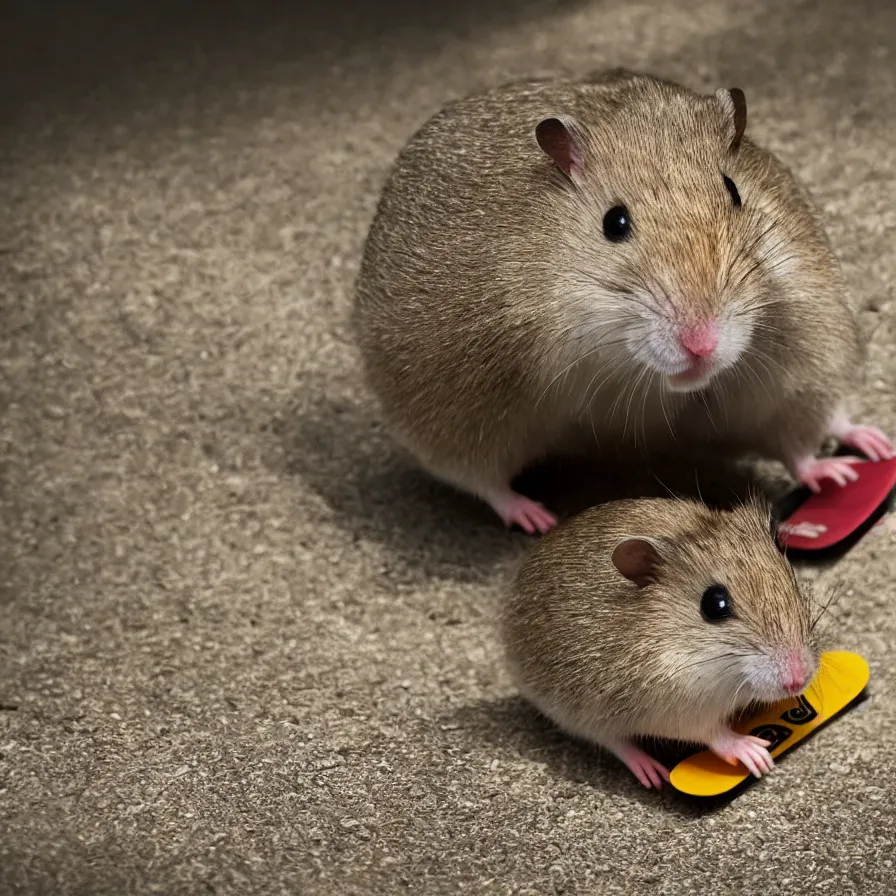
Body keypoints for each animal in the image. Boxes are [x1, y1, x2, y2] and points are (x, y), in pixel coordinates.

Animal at [354, 72, 892, 532]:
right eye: (614, 222)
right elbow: (481, 477)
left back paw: (866, 450)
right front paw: (539, 519)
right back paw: (534, 517)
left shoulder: (792, 361)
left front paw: (837, 477)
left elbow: (797, 448)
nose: (702, 346)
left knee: (827, 423)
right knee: (485, 480)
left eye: (735, 192)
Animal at [500, 500, 824, 788]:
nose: (798, 681)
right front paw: (755, 754)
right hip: (575, 715)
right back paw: (651, 771)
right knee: (614, 742)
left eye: (791, 577)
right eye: (714, 605)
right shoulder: (676, 710)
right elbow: (714, 735)